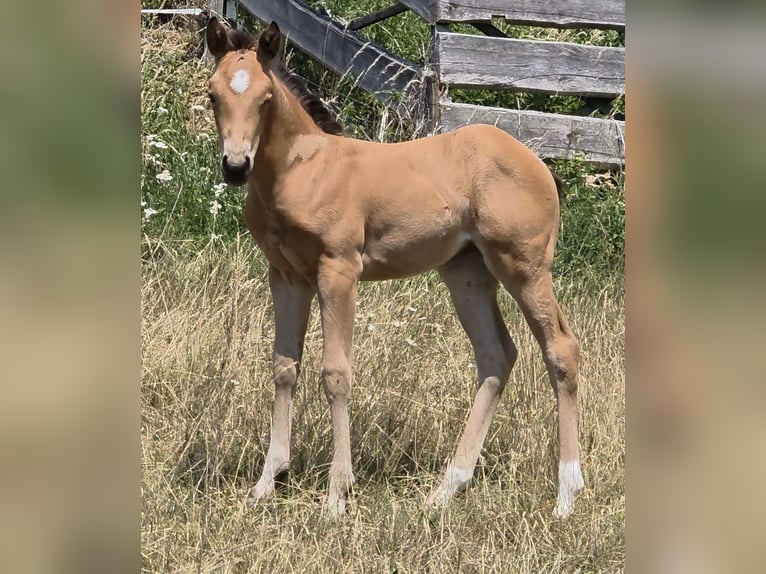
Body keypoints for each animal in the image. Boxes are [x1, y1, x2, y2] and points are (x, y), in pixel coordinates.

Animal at [204, 17, 584, 518]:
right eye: (212, 94)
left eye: (265, 99)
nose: (234, 166)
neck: (302, 171)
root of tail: (538, 163)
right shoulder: (285, 276)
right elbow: (284, 367)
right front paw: (267, 483)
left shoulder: (338, 271)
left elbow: (336, 373)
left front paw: (336, 497)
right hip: (466, 272)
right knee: (496, 355)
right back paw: (446, 489)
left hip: (524, 266)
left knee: (561, 349)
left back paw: (566, 495)